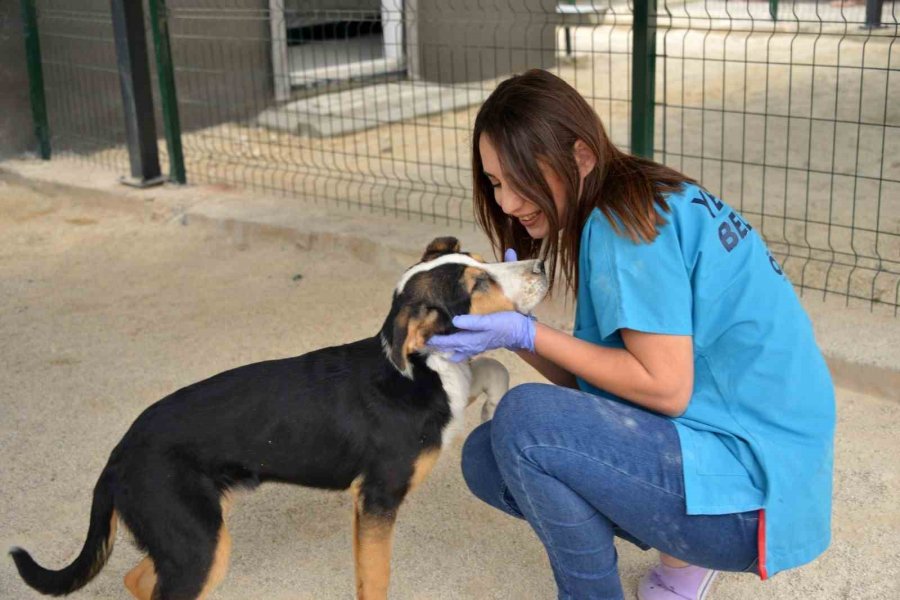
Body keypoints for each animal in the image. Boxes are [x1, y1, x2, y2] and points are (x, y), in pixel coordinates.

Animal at [12, 237, 548, 600]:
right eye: (479, 283)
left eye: (482, 260)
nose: (541, 265)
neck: (420, 369)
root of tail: (118, 453)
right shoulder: (376, 500)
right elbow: (375, 578)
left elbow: (492, 366)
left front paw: (493, 404)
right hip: (198, 544)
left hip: (191, 538)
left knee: (137, 576)